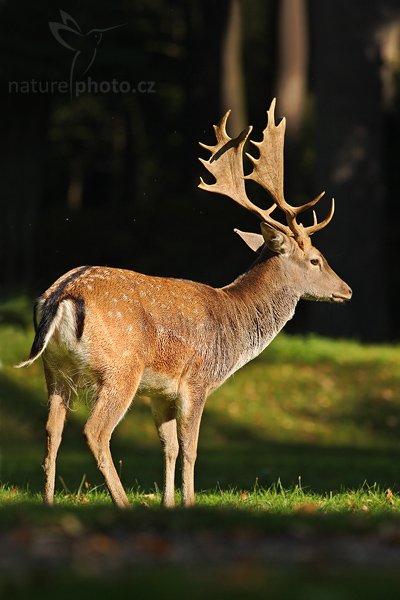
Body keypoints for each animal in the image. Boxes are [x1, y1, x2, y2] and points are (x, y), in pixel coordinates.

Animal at [18, 98, 350, 506]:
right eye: (316, 259)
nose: (346, 289)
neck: (235, 326)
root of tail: (61, 296)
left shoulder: (160, 392)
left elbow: (170, 447)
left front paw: (169, 504)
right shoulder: (197, 379)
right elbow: (190, 448)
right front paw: (189, 502)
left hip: (54, 368)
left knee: (51, 431)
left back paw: (48, 502)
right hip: (120, 368)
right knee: (95, 432)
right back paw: (122, 502)